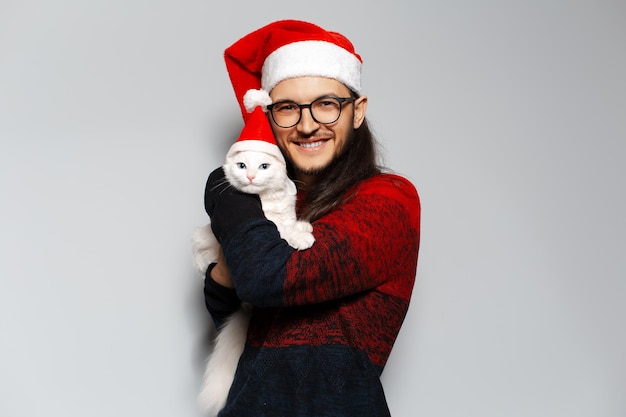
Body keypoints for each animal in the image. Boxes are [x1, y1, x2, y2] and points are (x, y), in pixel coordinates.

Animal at [189, 148, 312, 414]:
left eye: (264, 166)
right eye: (242, 165)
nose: (251, 177)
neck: (267, 199)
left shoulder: (285, 211)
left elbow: (288, 222)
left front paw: (303, 227)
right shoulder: (266, 222)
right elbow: (280, 230)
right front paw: (301, 237)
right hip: (201, 243)